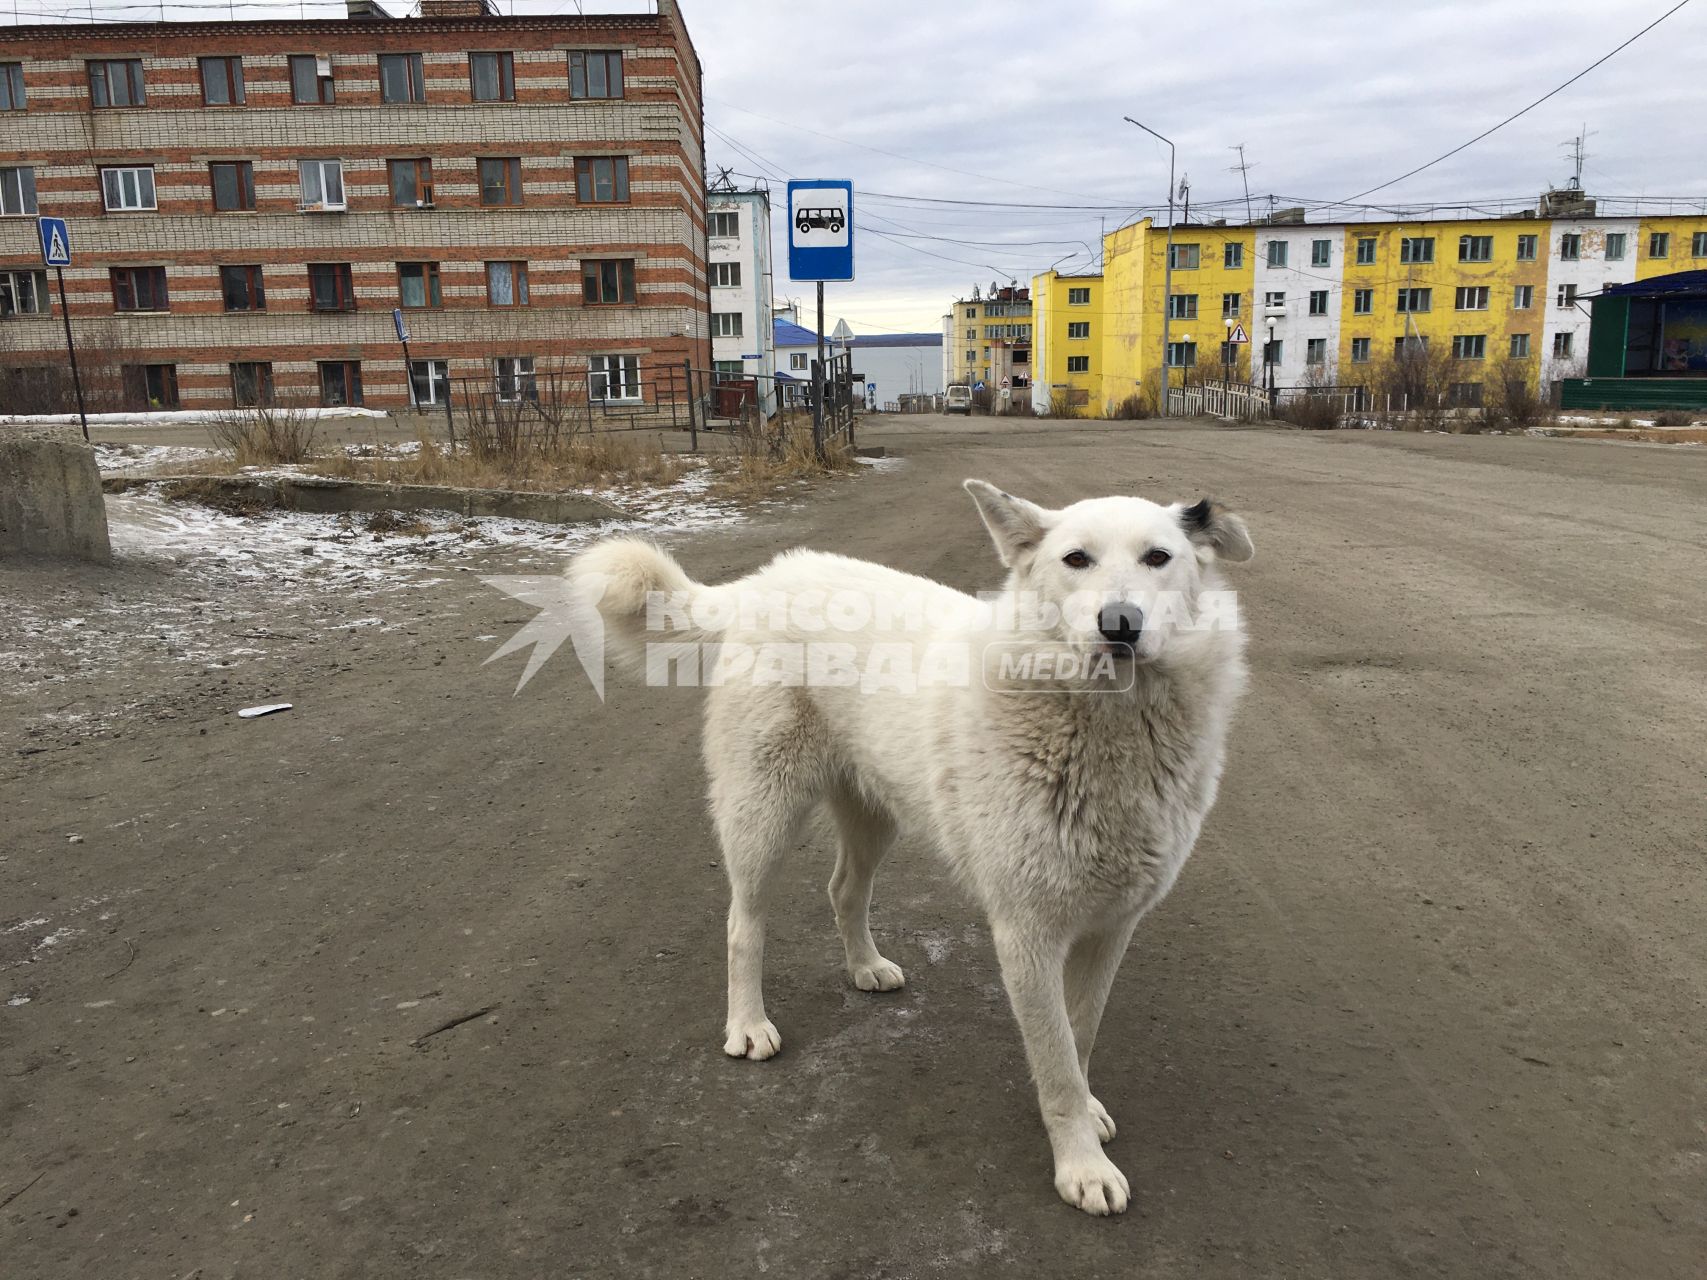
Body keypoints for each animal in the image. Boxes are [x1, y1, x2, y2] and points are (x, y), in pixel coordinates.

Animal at [573, 481, 1256, 1215]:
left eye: (1159, 557)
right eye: (1076, 559)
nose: (1119, 624)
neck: (1106, 725)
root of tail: (765, 581)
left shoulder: (1112, 928)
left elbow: (1081, 1035)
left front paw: (1089, 1115)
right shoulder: (1026, 935)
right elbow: (1055, 1064)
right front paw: (1081, 1164)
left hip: (874, 816)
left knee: (843, 890)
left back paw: (865, 967)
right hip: (763, 812)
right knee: (742, 923)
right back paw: (748, 1025)